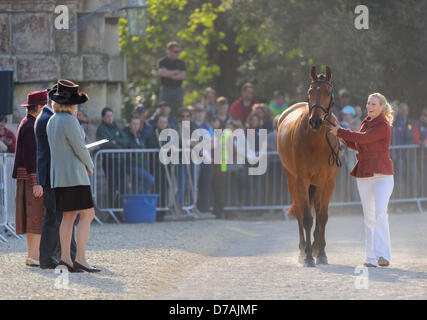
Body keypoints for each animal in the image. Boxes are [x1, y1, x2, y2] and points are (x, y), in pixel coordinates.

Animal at [278, 65, 342, 268]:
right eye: (310, 92)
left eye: (328, 92)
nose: (315, 121)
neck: (316, 143)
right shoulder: (302, 180)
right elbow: (306, 218)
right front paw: (307, 257)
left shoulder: (328, 182)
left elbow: (322, 217)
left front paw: (321, 253)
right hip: (292, 180)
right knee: (299, 212)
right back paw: (303, 250)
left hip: (318, 184)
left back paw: (315, 246)